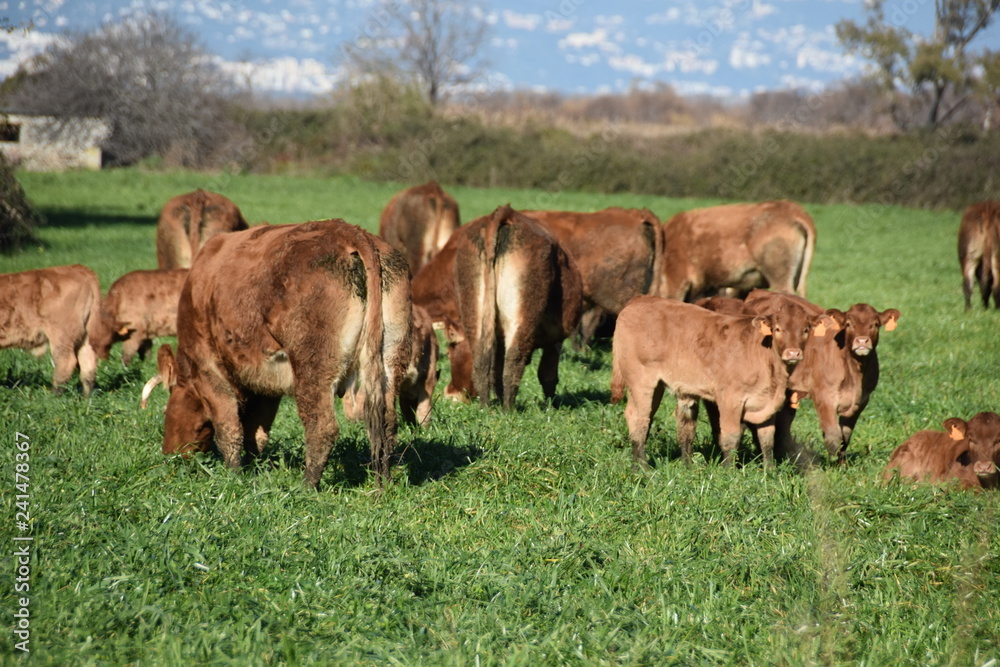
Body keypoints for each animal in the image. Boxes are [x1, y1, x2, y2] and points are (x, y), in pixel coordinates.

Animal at [0, 265, 101, 396]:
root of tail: (77, 268)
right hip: (86, 334)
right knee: (88, 364)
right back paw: (86, 396)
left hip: (61, 334)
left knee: (66, 362)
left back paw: (53, 396)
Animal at [150, 219, 412, 488]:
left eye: (165, 411)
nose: (169, 452)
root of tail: (350, 231)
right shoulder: (265, 384)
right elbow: (255, 433)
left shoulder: (206, 365)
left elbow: (229, 427)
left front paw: (234, 475)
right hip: (390, 360)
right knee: (387, 423)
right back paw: (385, 481)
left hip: (312, 367)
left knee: (322, 428)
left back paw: (307, 486)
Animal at [454, 205, 583, 409]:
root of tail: (504, 213)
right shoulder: (555, 338)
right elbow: (548, 373)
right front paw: (551, 405)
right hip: (523, 315)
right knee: (514, 360)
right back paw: (509, 409)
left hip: (475, 311)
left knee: (483, 363)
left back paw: (486, 407)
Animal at [610, 295, 833, 469]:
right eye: (777, 329)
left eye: (806, 329)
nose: (793, 353)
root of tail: (640, 301)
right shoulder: (729, 399)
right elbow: (730, 436)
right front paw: (729, 471)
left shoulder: (767, 402)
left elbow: (767, 438)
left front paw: (769, 471)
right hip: (641, 380)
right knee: (638, 417)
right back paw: (642, 467)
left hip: (657, 385)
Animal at [744, 290, 900, 466]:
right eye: (848, 324)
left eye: (875, 324)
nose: (861, 341)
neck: (854, 372)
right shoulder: (824, 396)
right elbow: (833, 435)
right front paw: (833, 467)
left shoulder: (861, 401)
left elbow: (845, 436)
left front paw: (842, 464)